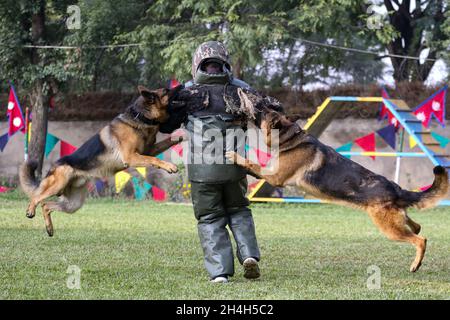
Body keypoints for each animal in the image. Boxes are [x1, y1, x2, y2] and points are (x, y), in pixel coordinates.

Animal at [18, 86, 181, 236]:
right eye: (166, 91)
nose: (181, 86)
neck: (141, 116)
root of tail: (53, 167)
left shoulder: (147, 151)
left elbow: (163, 146)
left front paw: (178, 137)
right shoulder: (131, 157)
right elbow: (153, 159)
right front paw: (170, 166)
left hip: (72, 204)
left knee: (46, 205)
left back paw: (49, 229)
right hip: (57, 185)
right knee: (37, 197)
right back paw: (30, 210)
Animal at [227, 108, 448, 272]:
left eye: (264, 112)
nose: (253, 107)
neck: (289, 138)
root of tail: (396, 189)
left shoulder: (275, 176)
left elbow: (252, 163)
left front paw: (235, 156)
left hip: (389, 228)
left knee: (420, 239)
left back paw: (415, 264)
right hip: (394, 220)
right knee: (417, 226)